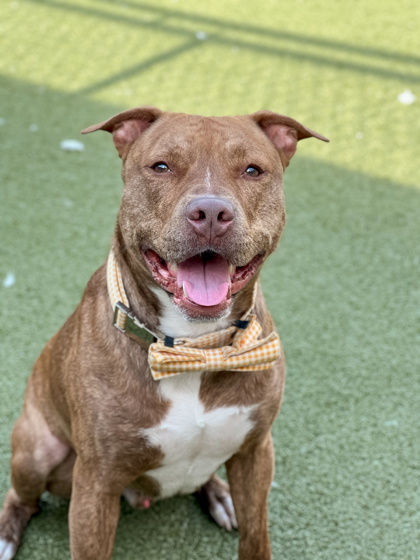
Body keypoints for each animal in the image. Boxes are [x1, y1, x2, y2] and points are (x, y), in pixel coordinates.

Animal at [0, 107, 327, 560]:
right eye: (161, 166)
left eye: (252, 170)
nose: (211, 213)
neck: (194, 347)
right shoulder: (96, 484)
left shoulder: (256, 452)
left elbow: (256, 537)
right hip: (37, 451)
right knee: (22, 497)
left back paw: (218, 494)